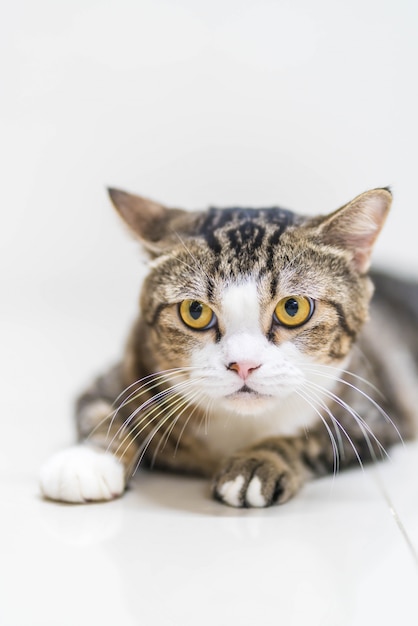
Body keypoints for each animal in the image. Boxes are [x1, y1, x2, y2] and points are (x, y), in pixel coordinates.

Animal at [39, 186, 418, 508]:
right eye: (195, 311)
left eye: (293, 307)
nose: (243, 364)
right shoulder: (126, 367)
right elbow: (99, 410)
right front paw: (88, 459)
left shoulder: (371, 415)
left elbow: (311, 439)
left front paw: (257, 462)